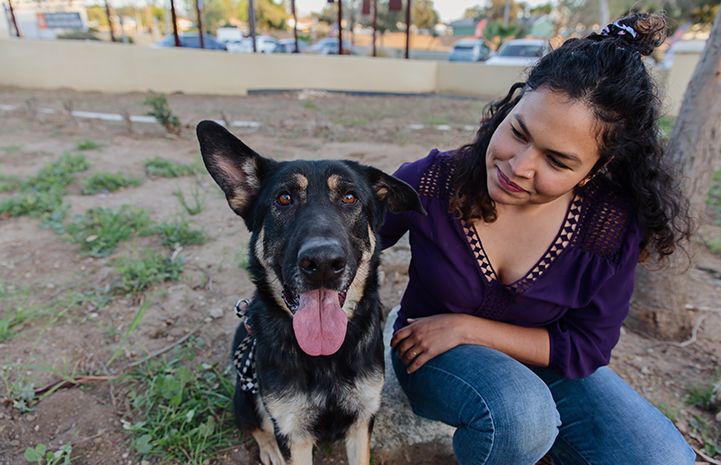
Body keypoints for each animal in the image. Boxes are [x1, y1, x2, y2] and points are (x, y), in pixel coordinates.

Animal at [194, 120, 424, 464]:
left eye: (350, 197)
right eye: (284, 198)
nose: (323, 263)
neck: (325, 358)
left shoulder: (362, 421)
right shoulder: (294, 433)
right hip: (247, 398)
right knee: (255, 426)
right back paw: (270, 451)